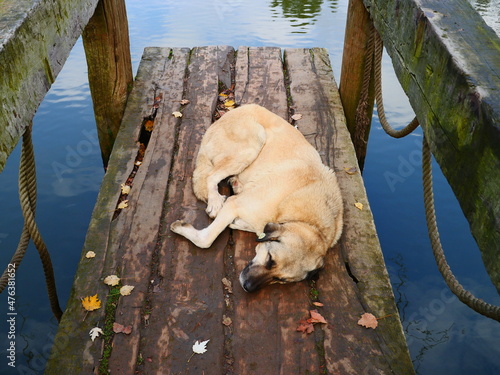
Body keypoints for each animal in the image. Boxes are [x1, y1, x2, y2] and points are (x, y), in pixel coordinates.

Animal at [170, 104, 342, 292]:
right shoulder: (235, 204)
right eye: (270, 259)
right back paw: (215, 200)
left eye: (280, 280)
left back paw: (236, 184)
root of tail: (235, 111)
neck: (307, 221)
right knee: (211, 176)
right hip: (252, 144)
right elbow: (206, 239)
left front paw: (239, 223)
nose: (247, 287)